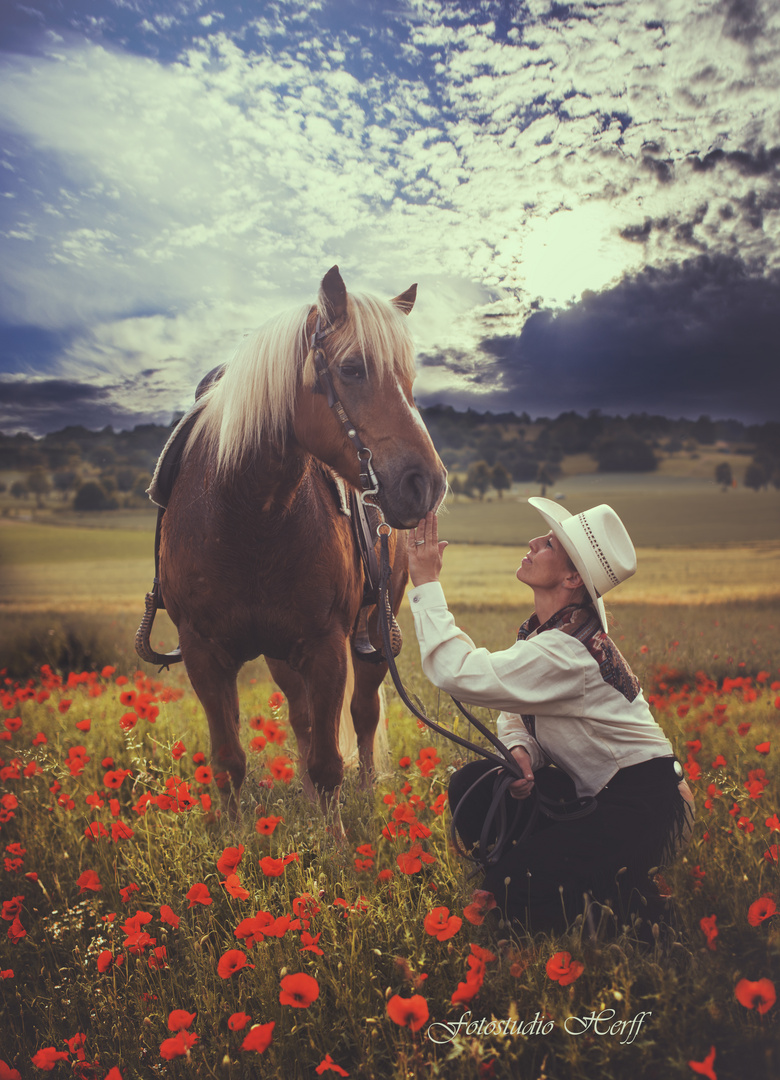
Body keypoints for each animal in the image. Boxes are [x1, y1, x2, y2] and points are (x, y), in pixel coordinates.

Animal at [157, 265, 447, 829]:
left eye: (408, 378)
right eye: (353, 368)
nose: (427, 484)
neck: (247, 516)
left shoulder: (326, 646)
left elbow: (329, 761)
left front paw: (337, 843)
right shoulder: (205, 653)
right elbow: (228, 760)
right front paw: (237, 839)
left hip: (373, 634)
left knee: (362, 713)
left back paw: (367, 793)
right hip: (281, 655)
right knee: (303, 717)